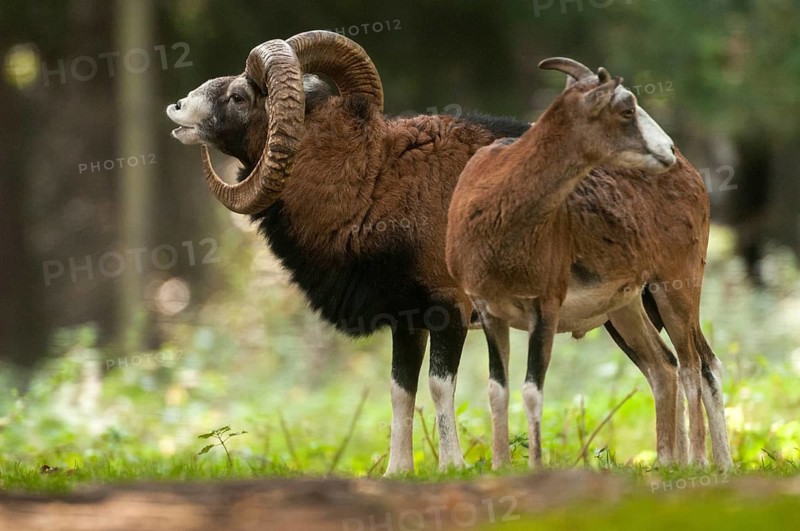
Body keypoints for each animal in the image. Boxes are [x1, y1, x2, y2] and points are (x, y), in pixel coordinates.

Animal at [167, 30, 532, 475]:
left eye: (238, 96)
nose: (177, 107)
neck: (374, 180)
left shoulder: (449, 311)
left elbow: (438, 386)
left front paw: (452, 466)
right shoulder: (407, 321)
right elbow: (401, 391)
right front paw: (398, 471)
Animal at [445, 58, 734, 470]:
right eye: (627, 110)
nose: (668, 149)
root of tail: (693, 176)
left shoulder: (544, 310)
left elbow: (532, 391)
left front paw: (536, 466)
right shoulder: (490, 313)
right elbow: (497, 390)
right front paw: (501, 467)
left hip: (675, 290)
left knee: (693, 367)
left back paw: (698, 463)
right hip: (627, 309)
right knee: (665, 368)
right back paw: (667, 463)